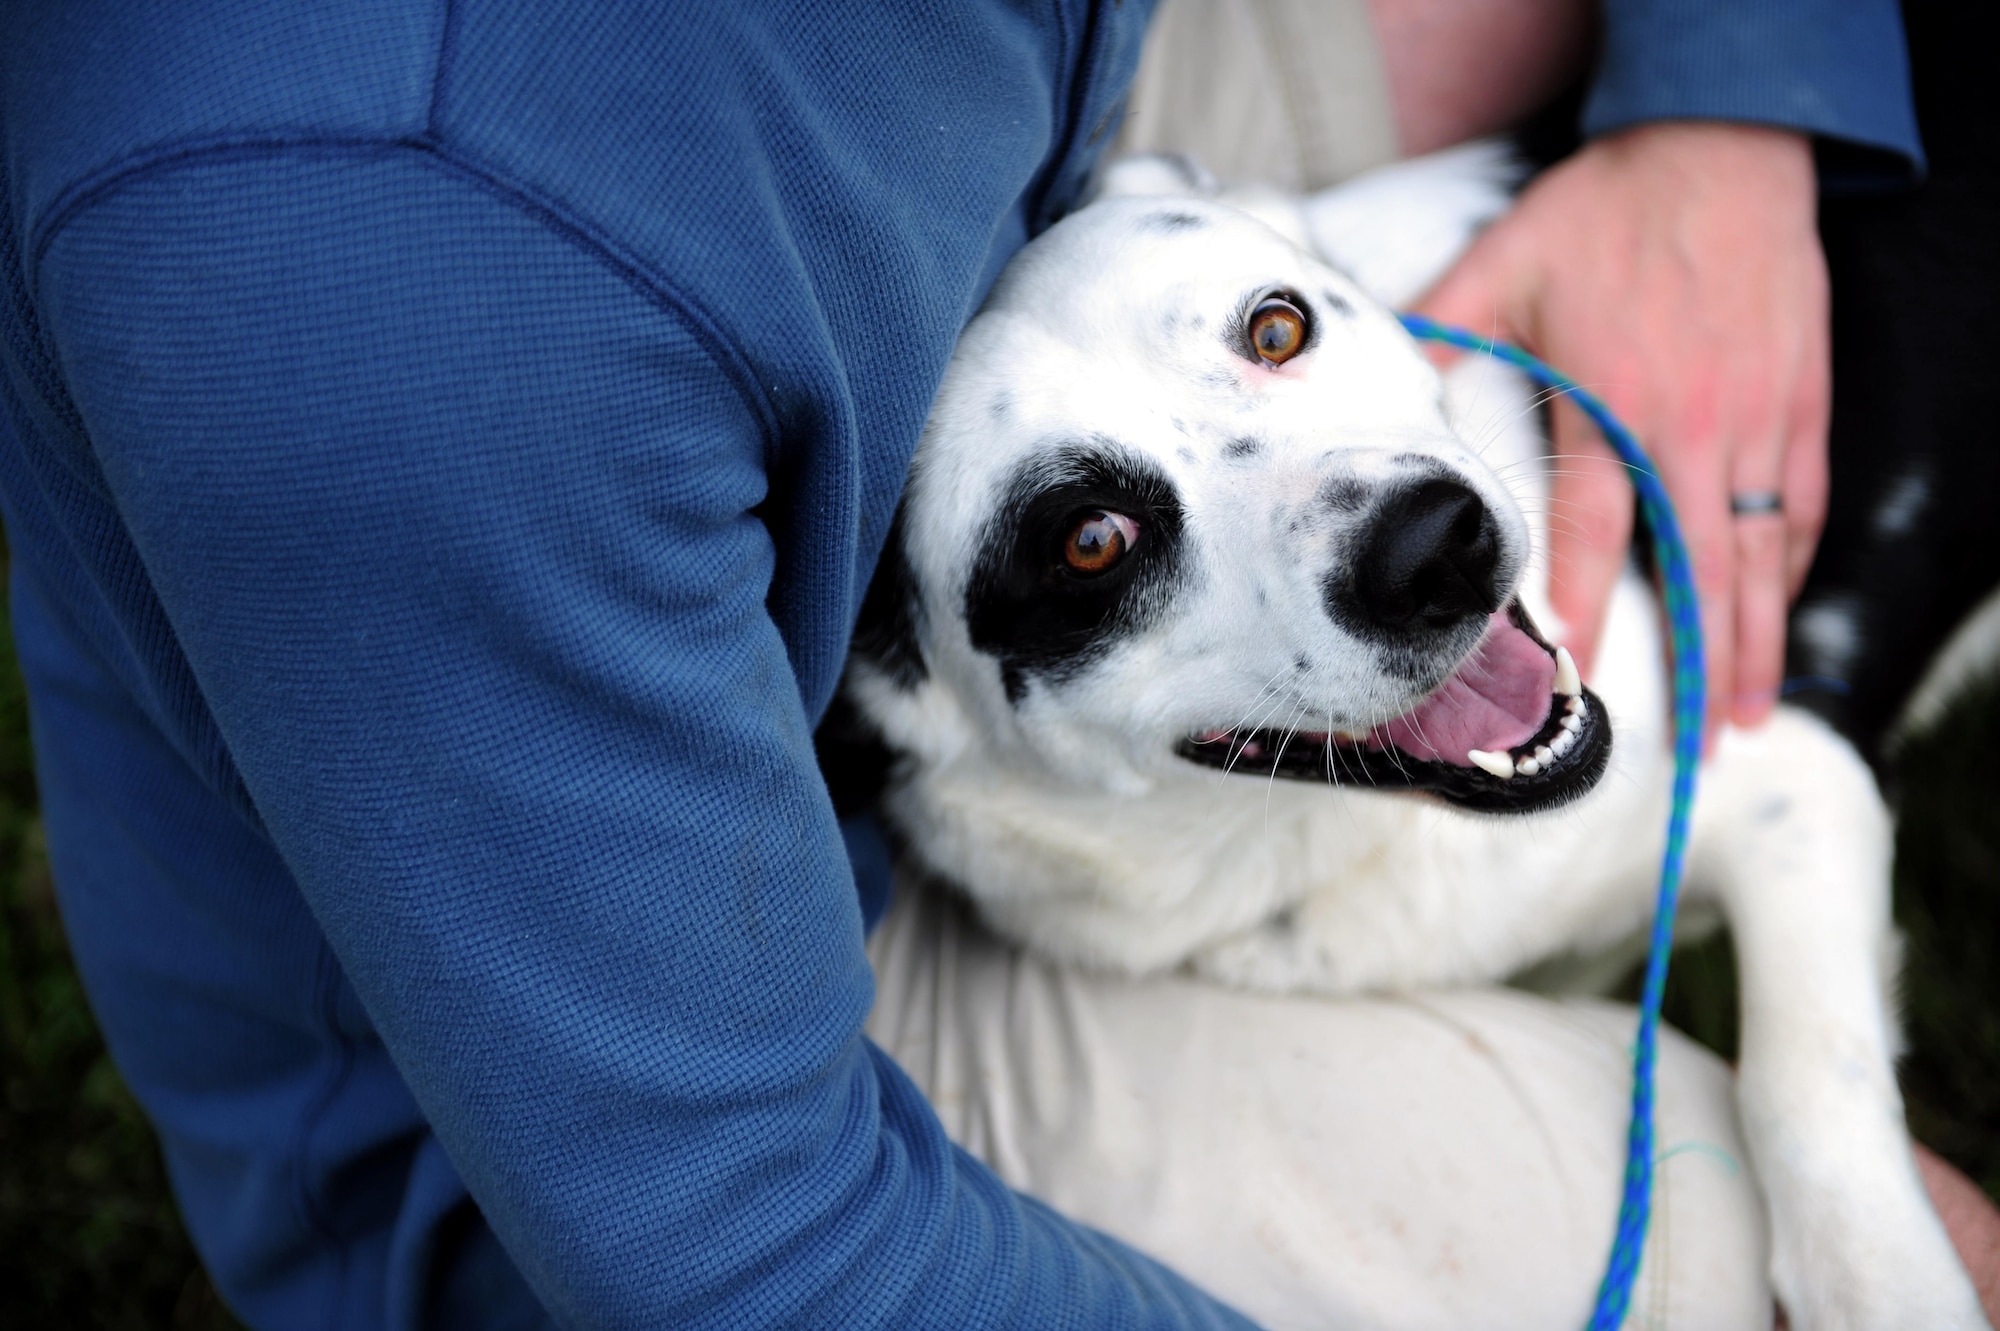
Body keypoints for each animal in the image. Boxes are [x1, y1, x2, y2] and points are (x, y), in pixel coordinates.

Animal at [840, 147, 1984, 1327]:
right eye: (1089, 541)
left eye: (1277, 328)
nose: (1433, 546)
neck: (1349, 837)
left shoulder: (1787, 774)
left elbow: (1806, 1077)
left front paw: (1886, 1280)